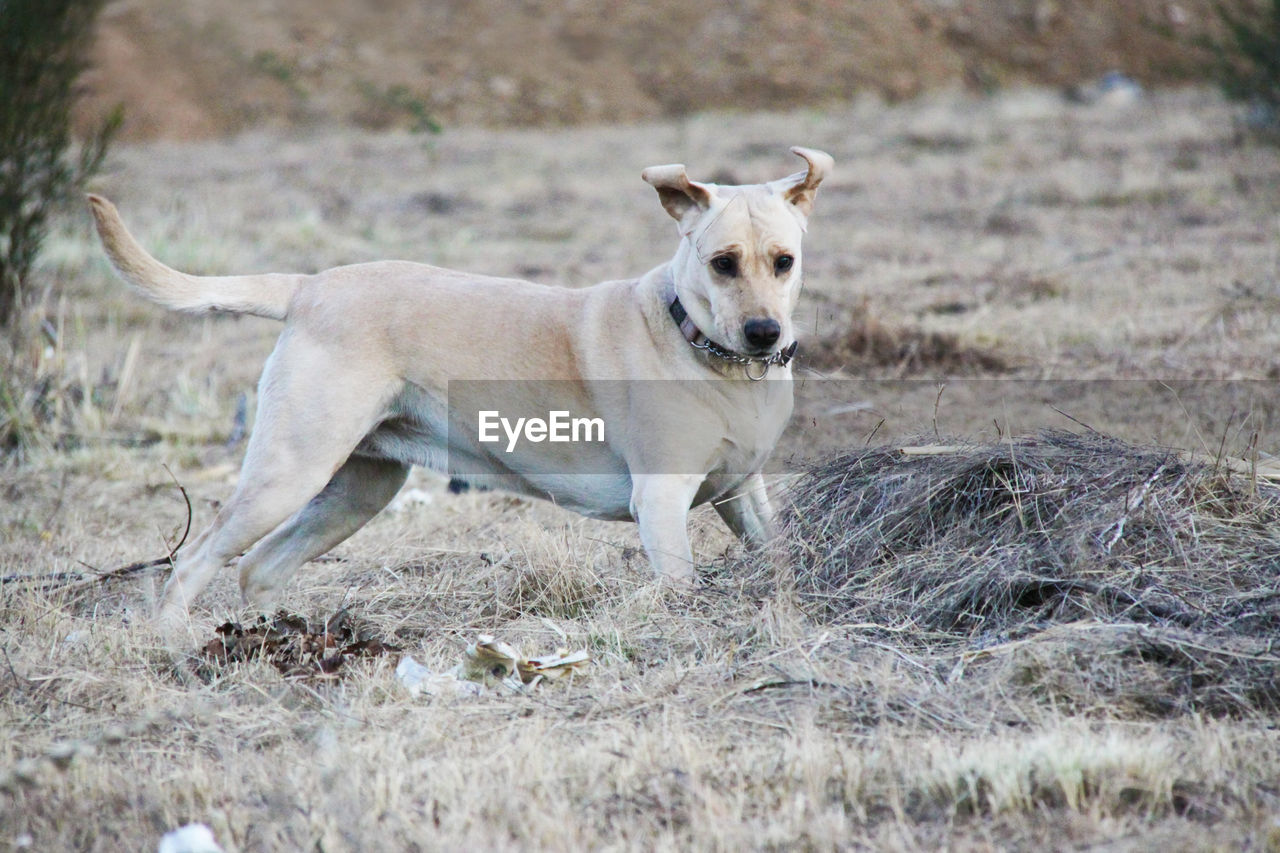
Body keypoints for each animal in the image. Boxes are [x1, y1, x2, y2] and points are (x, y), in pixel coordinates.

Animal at [87, 146, 829, 625]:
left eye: (784, 262)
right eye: (722, 263)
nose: (765, 332)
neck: (705, 349)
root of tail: (309, 286)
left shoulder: (742, 490)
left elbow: (776, 549)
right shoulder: (663, 498)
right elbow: (679, 585)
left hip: (356, 490)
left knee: (258, 568)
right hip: (287, 474)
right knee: (193, 563)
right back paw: (178, 649)